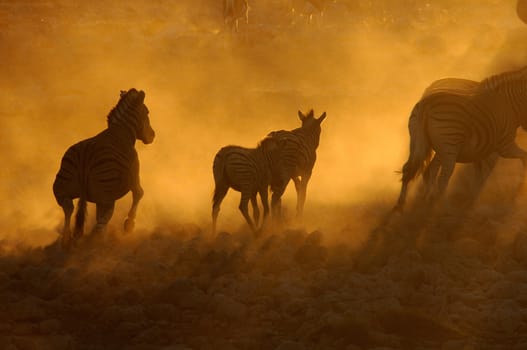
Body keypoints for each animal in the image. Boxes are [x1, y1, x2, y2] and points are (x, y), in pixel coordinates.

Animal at [53, 88, 155, 246]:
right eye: (147, 112)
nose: (153, 136)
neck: (122, 131)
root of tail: (85, 158)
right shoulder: (134, 175)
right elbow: (139, 193)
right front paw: (129, 225)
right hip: (106, 194)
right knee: (102, 220)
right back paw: (99, 243)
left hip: (62, 188)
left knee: (68, 208)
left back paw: (66, 239)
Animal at [396, 67, 527, 212]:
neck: (508, 105)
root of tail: (427, 102)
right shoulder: (503, 146)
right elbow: (522, 158)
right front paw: (519, 189)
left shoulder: (480, 153)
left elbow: (479, 177)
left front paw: (471, 203)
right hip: (449, 146)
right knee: (442, 179)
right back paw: (443, 209)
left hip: (420, 143)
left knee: (416, 169)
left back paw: (409, 205)